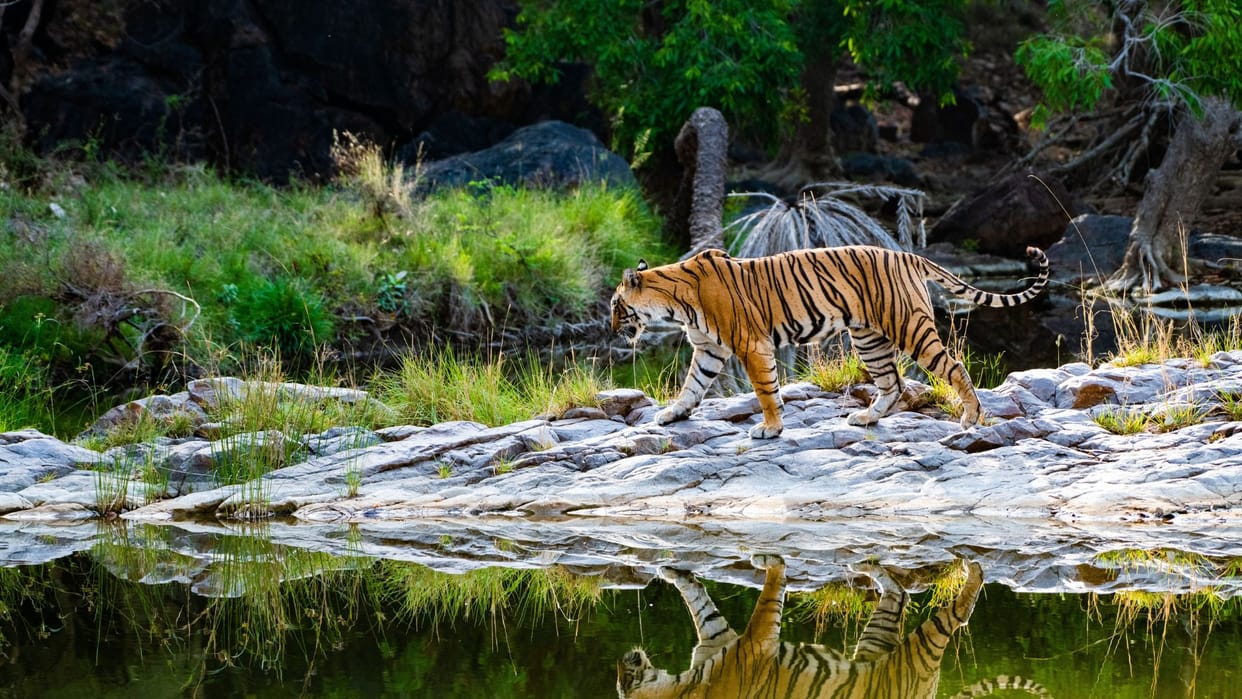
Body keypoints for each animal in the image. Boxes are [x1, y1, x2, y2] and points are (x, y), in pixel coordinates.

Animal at [610, 245, 1049, 438]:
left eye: (616, 305)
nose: (610, 327)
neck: (674, 302)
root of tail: (908, 254)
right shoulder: (709, 349)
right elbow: (692, 386)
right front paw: (672, 415)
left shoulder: (751, 345)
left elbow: (765, 390)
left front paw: (770, 428)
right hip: (868, 338)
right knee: (893, 383)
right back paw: (867, 418)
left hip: (909, 326)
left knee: (953, 366)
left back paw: (970, 418)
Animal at [617, 554, 986, 698]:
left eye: (623, 684)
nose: (625, 659)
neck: (683, 685)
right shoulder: (718, 638)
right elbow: (699, 604)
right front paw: (673, 572)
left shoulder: (754, 643)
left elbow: (767, 598)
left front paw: (770, 562)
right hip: (878, 648)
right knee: (898, 593)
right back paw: (866, 566)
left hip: (917, 654)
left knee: (957, 615)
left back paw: (975, 569)